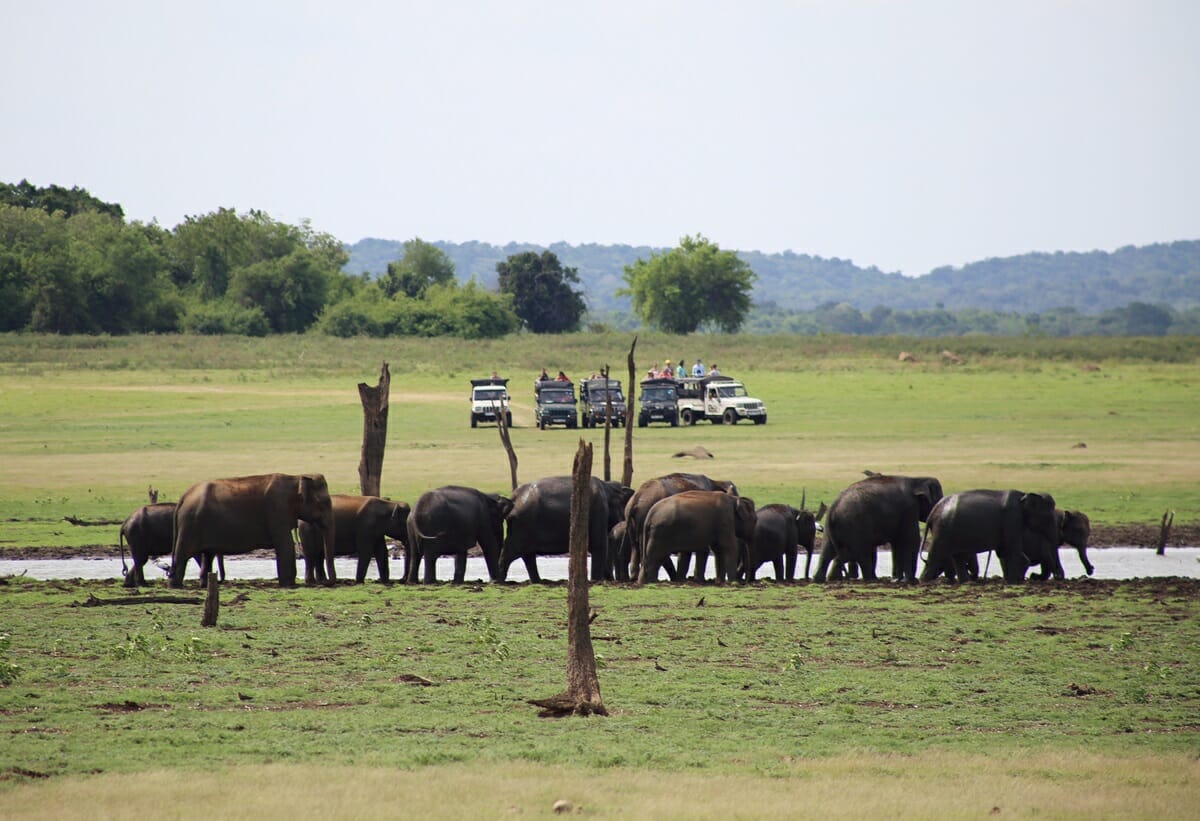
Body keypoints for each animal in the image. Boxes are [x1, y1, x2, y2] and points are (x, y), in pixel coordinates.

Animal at [170, 473, 335, 588]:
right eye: (323, 502)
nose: (327, 582)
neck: (296, 477)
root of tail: (183, 497)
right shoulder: (277, 509)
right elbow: (285, 545)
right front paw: (288, 584)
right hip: (190, 524)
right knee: (183, 554)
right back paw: (176, 586)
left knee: (208, 555)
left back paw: (203, 585)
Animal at [499, 476, 633, 582]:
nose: (612, 579)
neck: (608, 486)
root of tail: (514, 497)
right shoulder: (599, 510)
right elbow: (599, 546)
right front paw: (596, 580)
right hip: (522, 525)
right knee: (511, 551)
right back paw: (499, 580)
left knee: (527, 555)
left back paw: (538, 581)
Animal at [812, 474, 943, 583]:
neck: (916, 479)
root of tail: (833, 507)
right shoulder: (909, 509)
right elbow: (911, 540)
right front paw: (910, 581)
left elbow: (896, 543)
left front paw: (897, 579)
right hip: (855, 525)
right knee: (858, 552)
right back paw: (870, 579)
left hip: (831, 529)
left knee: (828, 552)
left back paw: (823, 579)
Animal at [918, 489, 1058, 583]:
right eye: (1048, 517)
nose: (1035, 576)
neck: (1024, 495)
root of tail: (933, 511)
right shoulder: (1012, 519)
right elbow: (1014, 551)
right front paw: (1013, 582)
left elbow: (1004, 552)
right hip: (943, 529)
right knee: (936, 555)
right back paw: (925, 581)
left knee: (957, 556)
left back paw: (966, 582)